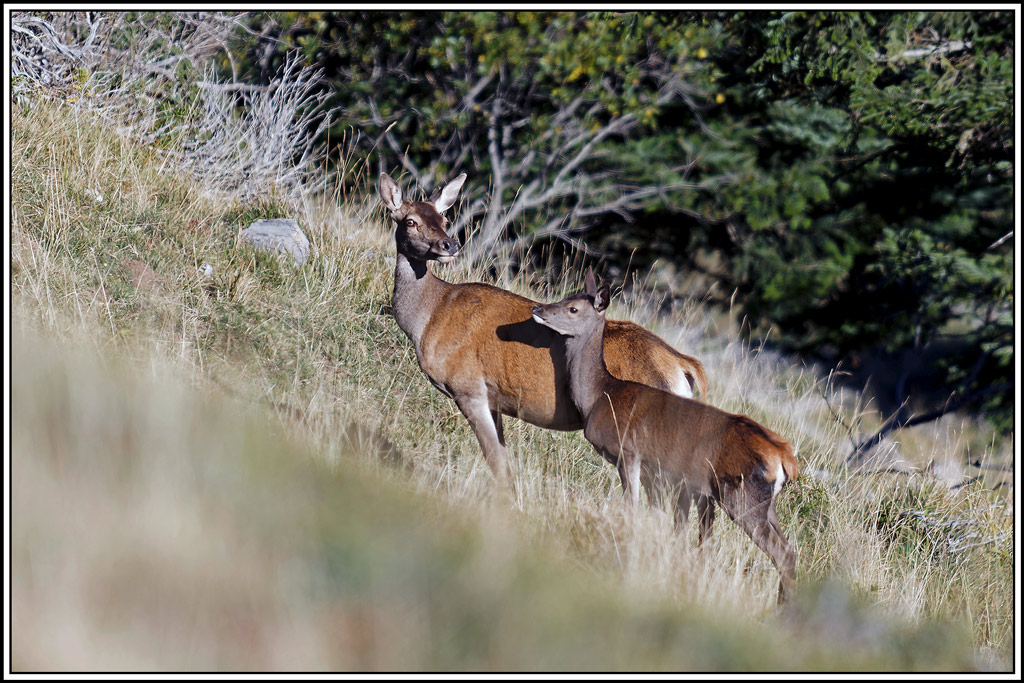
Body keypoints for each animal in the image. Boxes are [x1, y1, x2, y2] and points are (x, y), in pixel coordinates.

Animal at [378, 171, 707, 486]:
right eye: (411, 221)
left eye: (444, 219)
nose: (450, 245)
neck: (430, 316)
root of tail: (684, 366)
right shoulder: (494, 400)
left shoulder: (468, 386)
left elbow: (495, 461)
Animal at [531, 271, 798, 604]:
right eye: (567, 296)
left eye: (573, 309)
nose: (538, 308)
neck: (600, 395)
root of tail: (785, 459)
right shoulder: (654, 472)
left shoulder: (630, 454)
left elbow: (631, 508)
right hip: (765, 504)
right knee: (789, 551)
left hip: (741, 495)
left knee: (782, 554)